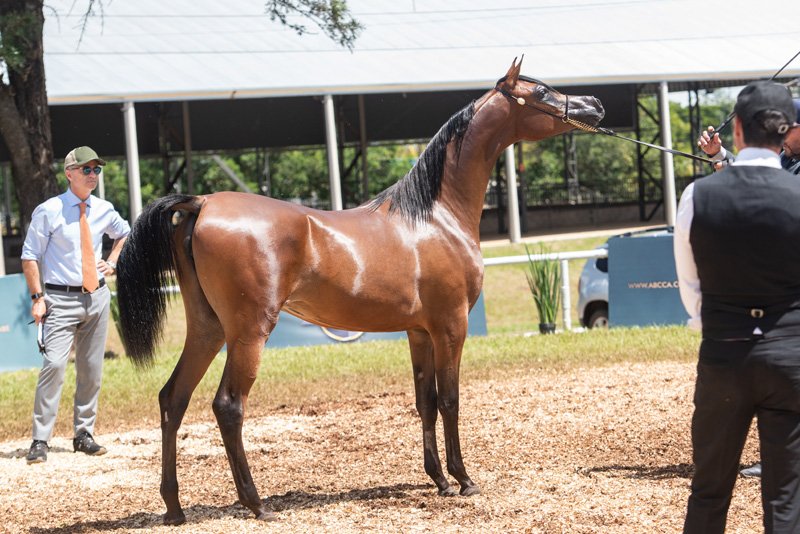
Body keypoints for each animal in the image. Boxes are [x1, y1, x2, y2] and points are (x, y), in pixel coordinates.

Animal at [116, 57, 605, 524]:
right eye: (541, 92)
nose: (595, 106)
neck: (436, 216)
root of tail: (201, 204)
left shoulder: (419, 332)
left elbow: (424, 401)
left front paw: (439, 481)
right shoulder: (451, 327)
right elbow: (450, 400)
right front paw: (464, 480)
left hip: (207, 329)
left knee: (173, 399)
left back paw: (174, 508)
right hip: (249, 333)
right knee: (228, 406)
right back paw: (256, 504)